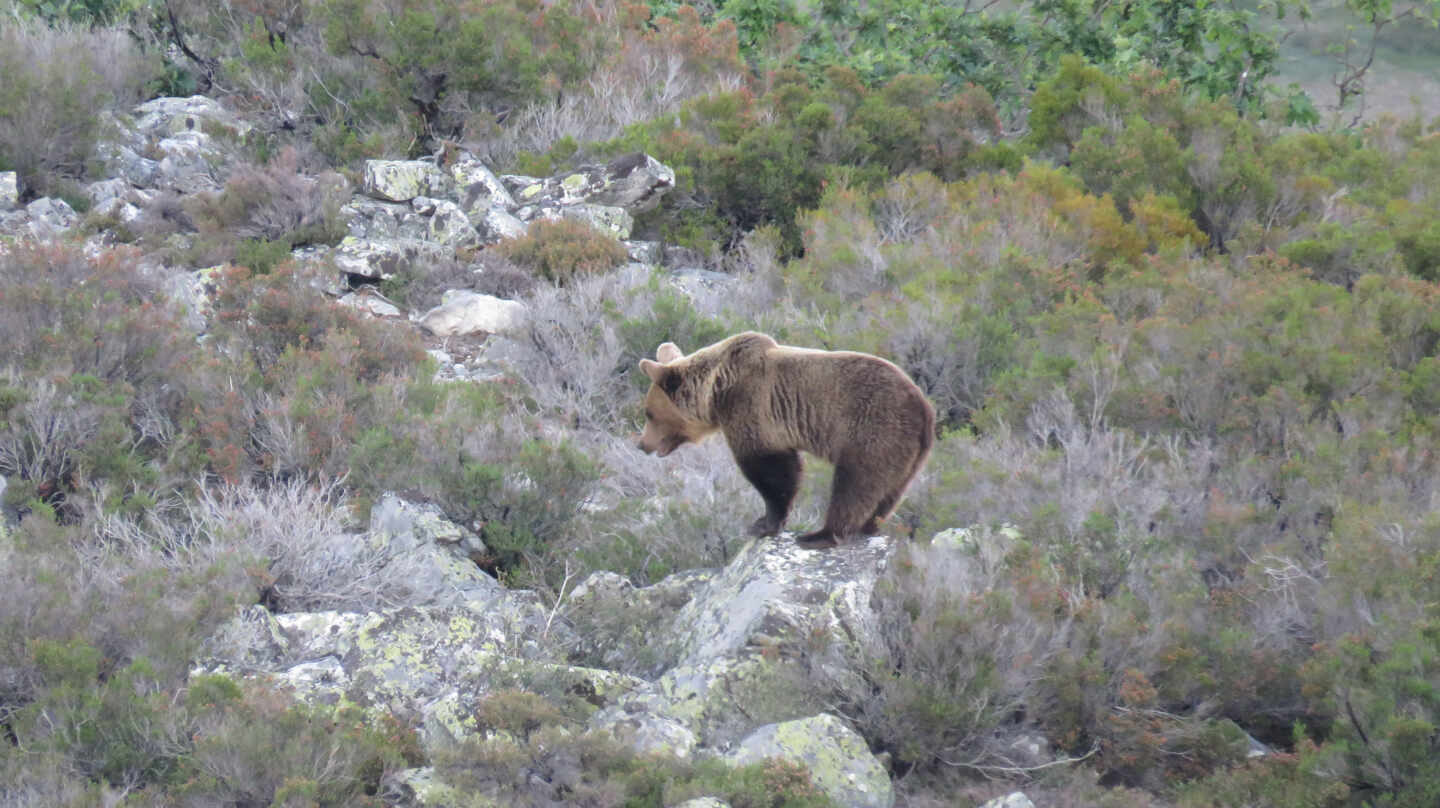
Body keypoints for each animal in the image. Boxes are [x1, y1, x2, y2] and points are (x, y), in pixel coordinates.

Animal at [639, 329, 933, 547]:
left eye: (648, 413)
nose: (642, 444)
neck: (716, 390)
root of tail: (924, 408)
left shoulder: (751, 406)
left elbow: (772, 470)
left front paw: (763, 523)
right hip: (910, 454)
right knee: (890, 491)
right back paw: (870, 525)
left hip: (873, 428)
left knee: (856, 484)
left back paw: (820, 535)